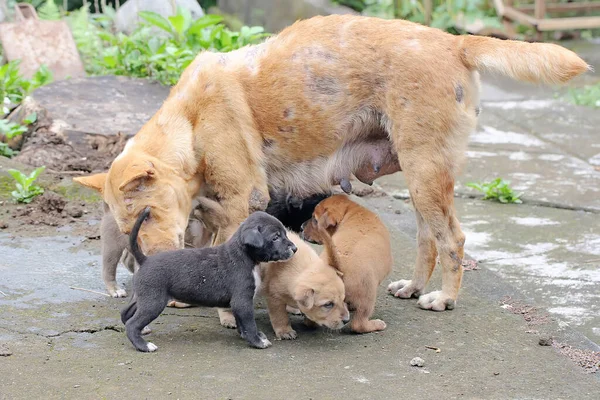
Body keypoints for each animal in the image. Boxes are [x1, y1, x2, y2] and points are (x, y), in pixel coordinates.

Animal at [120, 208, 298, 352]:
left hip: (142, 297)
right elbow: (249, 323)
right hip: (154, 301)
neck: (243, 254)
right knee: (132, 324)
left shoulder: (238, 303)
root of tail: (145, 260)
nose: (295, 248)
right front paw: (257, 341)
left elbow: (241, 322)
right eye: (275, 237)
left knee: (126, 313)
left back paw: (143, 330)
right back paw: (144, 345)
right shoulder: (242, 300)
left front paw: (246, 335)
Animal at [302, 195, 392, 332]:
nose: (301, 227)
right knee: (358, 324)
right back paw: (376, 324)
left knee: (312, 319)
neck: (351, 211)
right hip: (368, 295)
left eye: (314, 219)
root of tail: (335, 264)